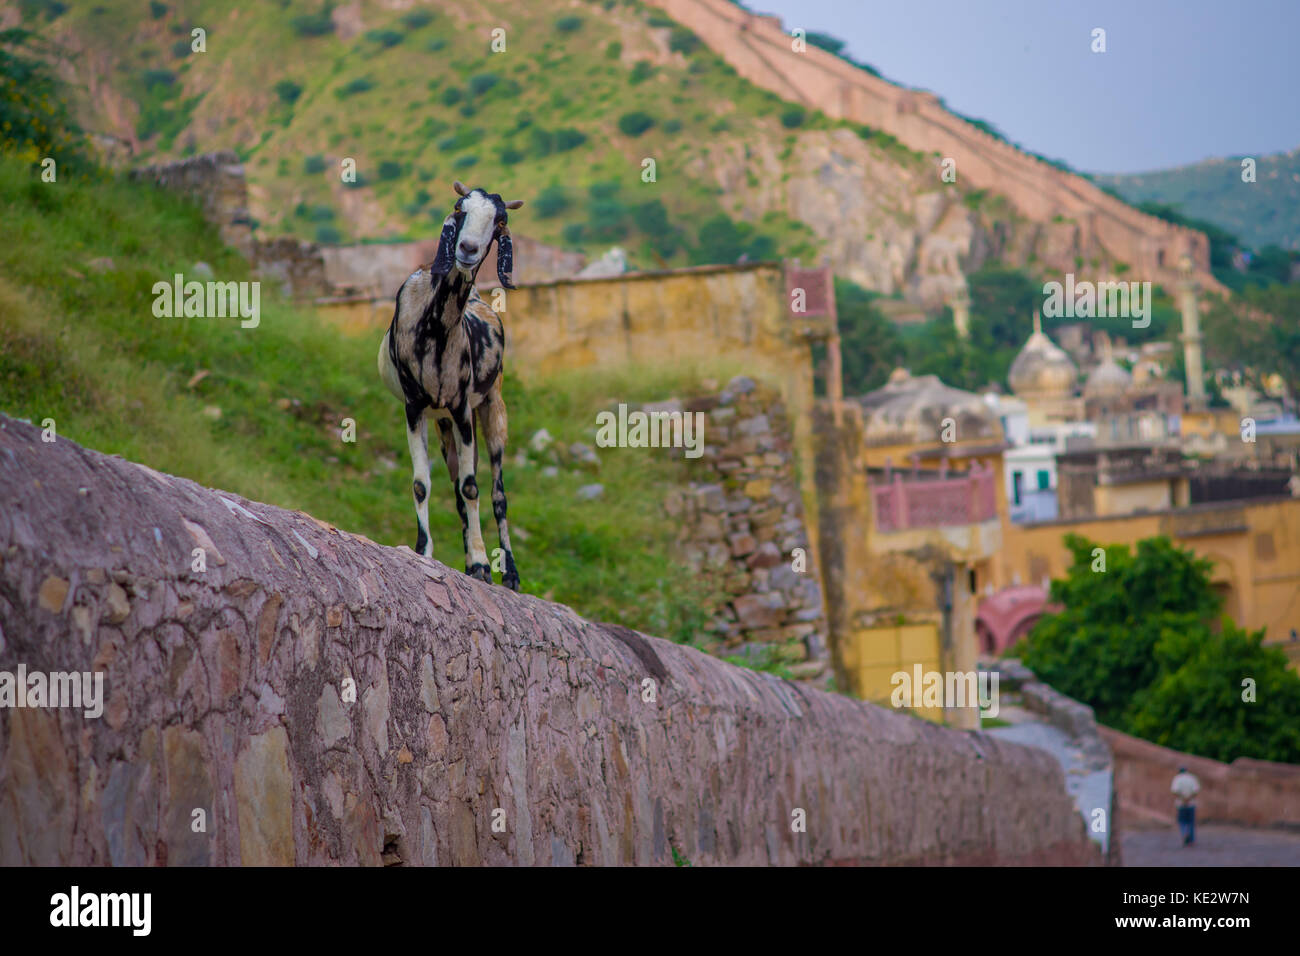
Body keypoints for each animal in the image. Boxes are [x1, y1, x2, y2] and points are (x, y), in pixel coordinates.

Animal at [377, 175, 522, 587]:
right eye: (460, 209)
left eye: (500, 221)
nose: (468, 249)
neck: (436, 327)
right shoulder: (415, 408)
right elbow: (422, 483)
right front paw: (425, 551)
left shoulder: (461, 407)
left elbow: (473, 487)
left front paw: (481, 564)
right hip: (443, 424)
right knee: (458, 489)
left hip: (491, 409)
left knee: (497, 493)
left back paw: (509, 572)